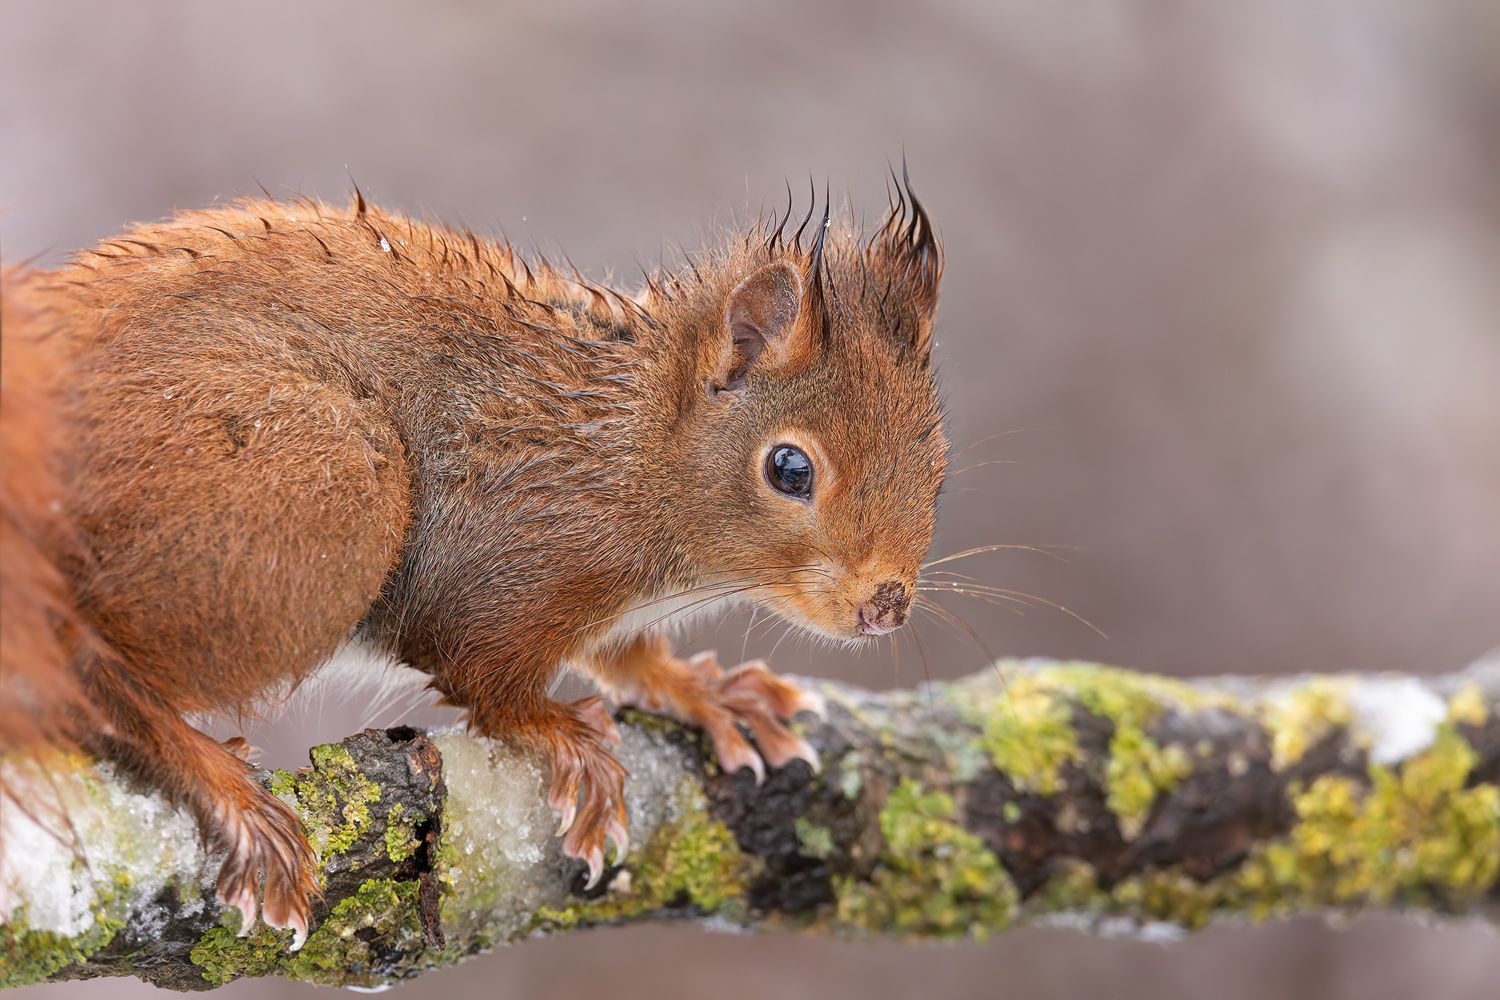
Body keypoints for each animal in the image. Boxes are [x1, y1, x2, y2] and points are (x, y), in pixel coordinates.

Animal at [0, 177, 942, 947]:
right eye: (790, 469)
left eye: (938, 461)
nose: (885, 606)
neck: (629, 446)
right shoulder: (515, 545)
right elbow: (476, 664)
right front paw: (563, 736)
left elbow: (627, 657)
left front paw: (706, 692)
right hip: (324, 483)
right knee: (88, 673)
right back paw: (217, 784)